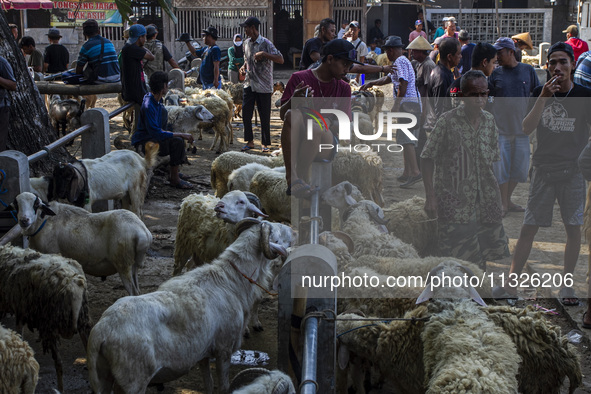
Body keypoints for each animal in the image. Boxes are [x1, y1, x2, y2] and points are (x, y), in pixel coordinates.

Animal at [0, 245, 91, 392]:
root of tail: (73, 286)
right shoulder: (21, 308)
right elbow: (19, 330)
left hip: (49, 324)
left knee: (58, 363)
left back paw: (60, 388)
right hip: (83, 319)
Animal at [15, 192, 153, 298]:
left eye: (35, 204)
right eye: (16, 205)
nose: (24, 220)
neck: (43, 223)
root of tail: (143, 232)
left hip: (123, 262)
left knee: (133, 292)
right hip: (132, 263)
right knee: (137, 290)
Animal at [86, 219, 294, 394]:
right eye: (276, 234)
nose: (292, 230)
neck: (232, 281)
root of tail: (101, 331)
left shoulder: (203, 352)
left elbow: (208, 384)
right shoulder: (224, 349)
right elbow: (223, 386)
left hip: (104, 377)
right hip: (133, 381)